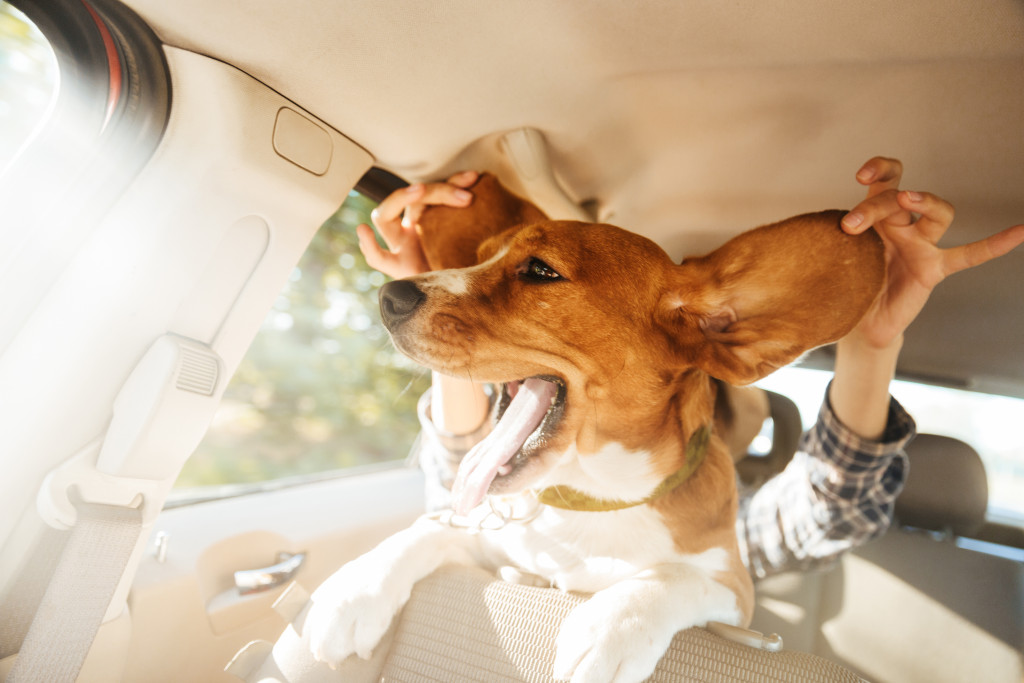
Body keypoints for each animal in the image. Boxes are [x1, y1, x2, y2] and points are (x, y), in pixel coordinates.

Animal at [307, 175, 884, 683]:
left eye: (540, 270)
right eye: (480, 255)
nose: (389, 296)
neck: (596, 499)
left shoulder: (732, 590)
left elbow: (668, 577)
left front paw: (608, 630)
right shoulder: (497, 548)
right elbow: (430, 528)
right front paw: (354, 590)